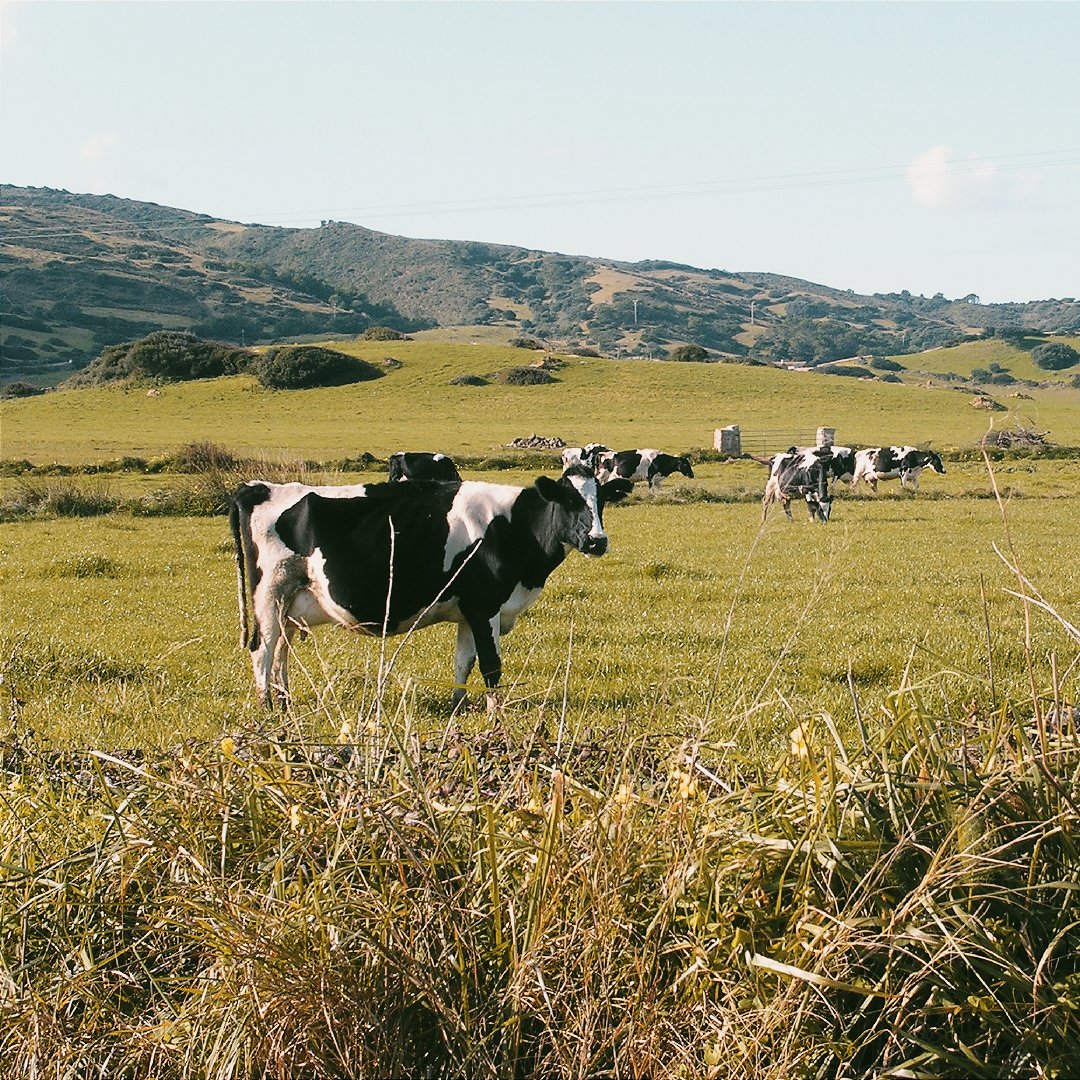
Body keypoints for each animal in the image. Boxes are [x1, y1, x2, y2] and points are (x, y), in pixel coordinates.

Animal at [229, 467, 634, 712]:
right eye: (569, 501)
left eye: (602, 501)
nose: (597, 541)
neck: (514, 526)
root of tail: (257, 488)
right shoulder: (485, 606)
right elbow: (491, 665)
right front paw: (495, 712)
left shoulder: (471, 611)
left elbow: (463, 662)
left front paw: (458, 704)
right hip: (268, 593)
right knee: (262, 648)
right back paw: (267, 706)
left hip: (290, 601)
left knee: (281, 650)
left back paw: (285, 703)